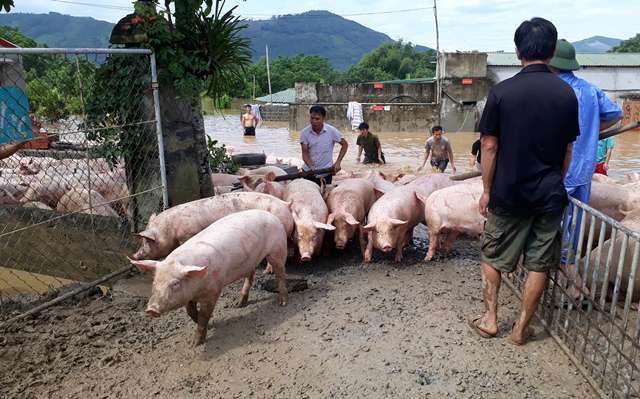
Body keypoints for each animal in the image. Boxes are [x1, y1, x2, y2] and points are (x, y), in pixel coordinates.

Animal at [130, 211, 288, 346]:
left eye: (175, 284)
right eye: (155, 282)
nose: (151, 309)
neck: (196, 288)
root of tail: (271, 215)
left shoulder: (214, 289)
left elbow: (204, 315)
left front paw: (195, 343)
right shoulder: (189, 295)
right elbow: (190, 311)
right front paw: (209, 325)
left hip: (278, 250)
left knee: (281, 274)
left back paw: (282, 303)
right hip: (250, 261)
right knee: (250, 276)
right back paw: (239, 304)